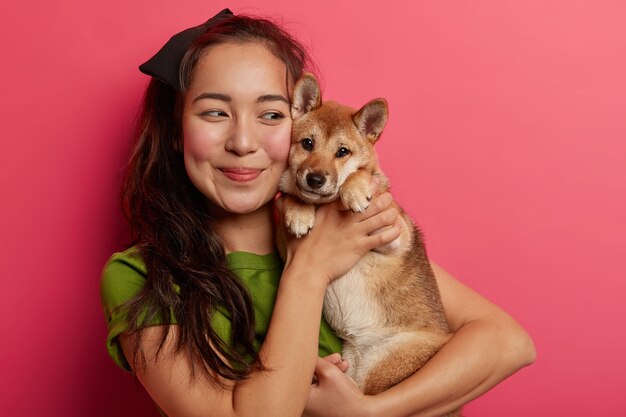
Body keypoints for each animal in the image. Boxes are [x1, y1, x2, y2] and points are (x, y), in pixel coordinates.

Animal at [278, 71, 458, 412]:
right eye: (307, 144)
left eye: (343, 152)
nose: (315, 179)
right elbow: (293, 197)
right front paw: (298, 210)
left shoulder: (395, 233)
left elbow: (358, 175)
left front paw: (355, 190)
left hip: (386, 367)